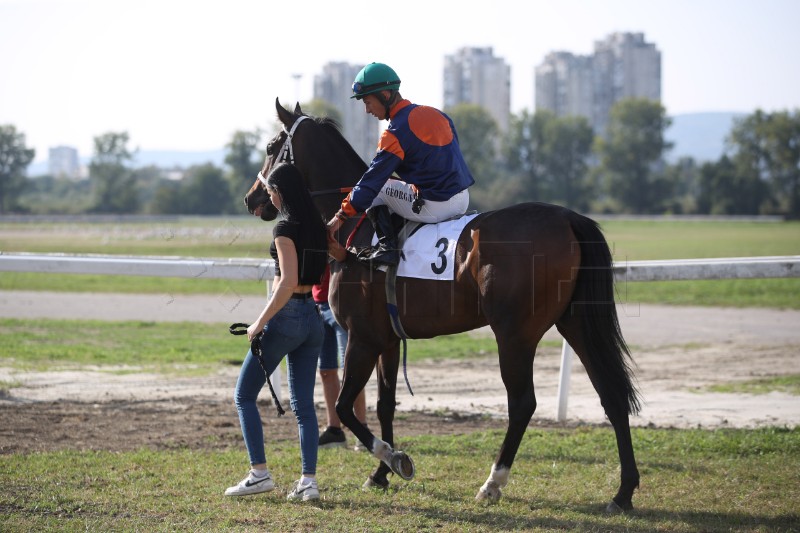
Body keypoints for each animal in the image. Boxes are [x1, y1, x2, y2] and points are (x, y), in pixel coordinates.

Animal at [245, 98, 644, 512]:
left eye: (272, 146)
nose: (252, 198)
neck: (360, 236)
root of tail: (568, 218)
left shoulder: (362, 337)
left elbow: (343, 405)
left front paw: (394, 459)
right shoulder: (387, 339)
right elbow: (385, 403)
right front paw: (380, 473)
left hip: (514, 334)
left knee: (522, 403)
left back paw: (492, 483)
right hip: (576, 323)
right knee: (612, 395)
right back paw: (623, 491)